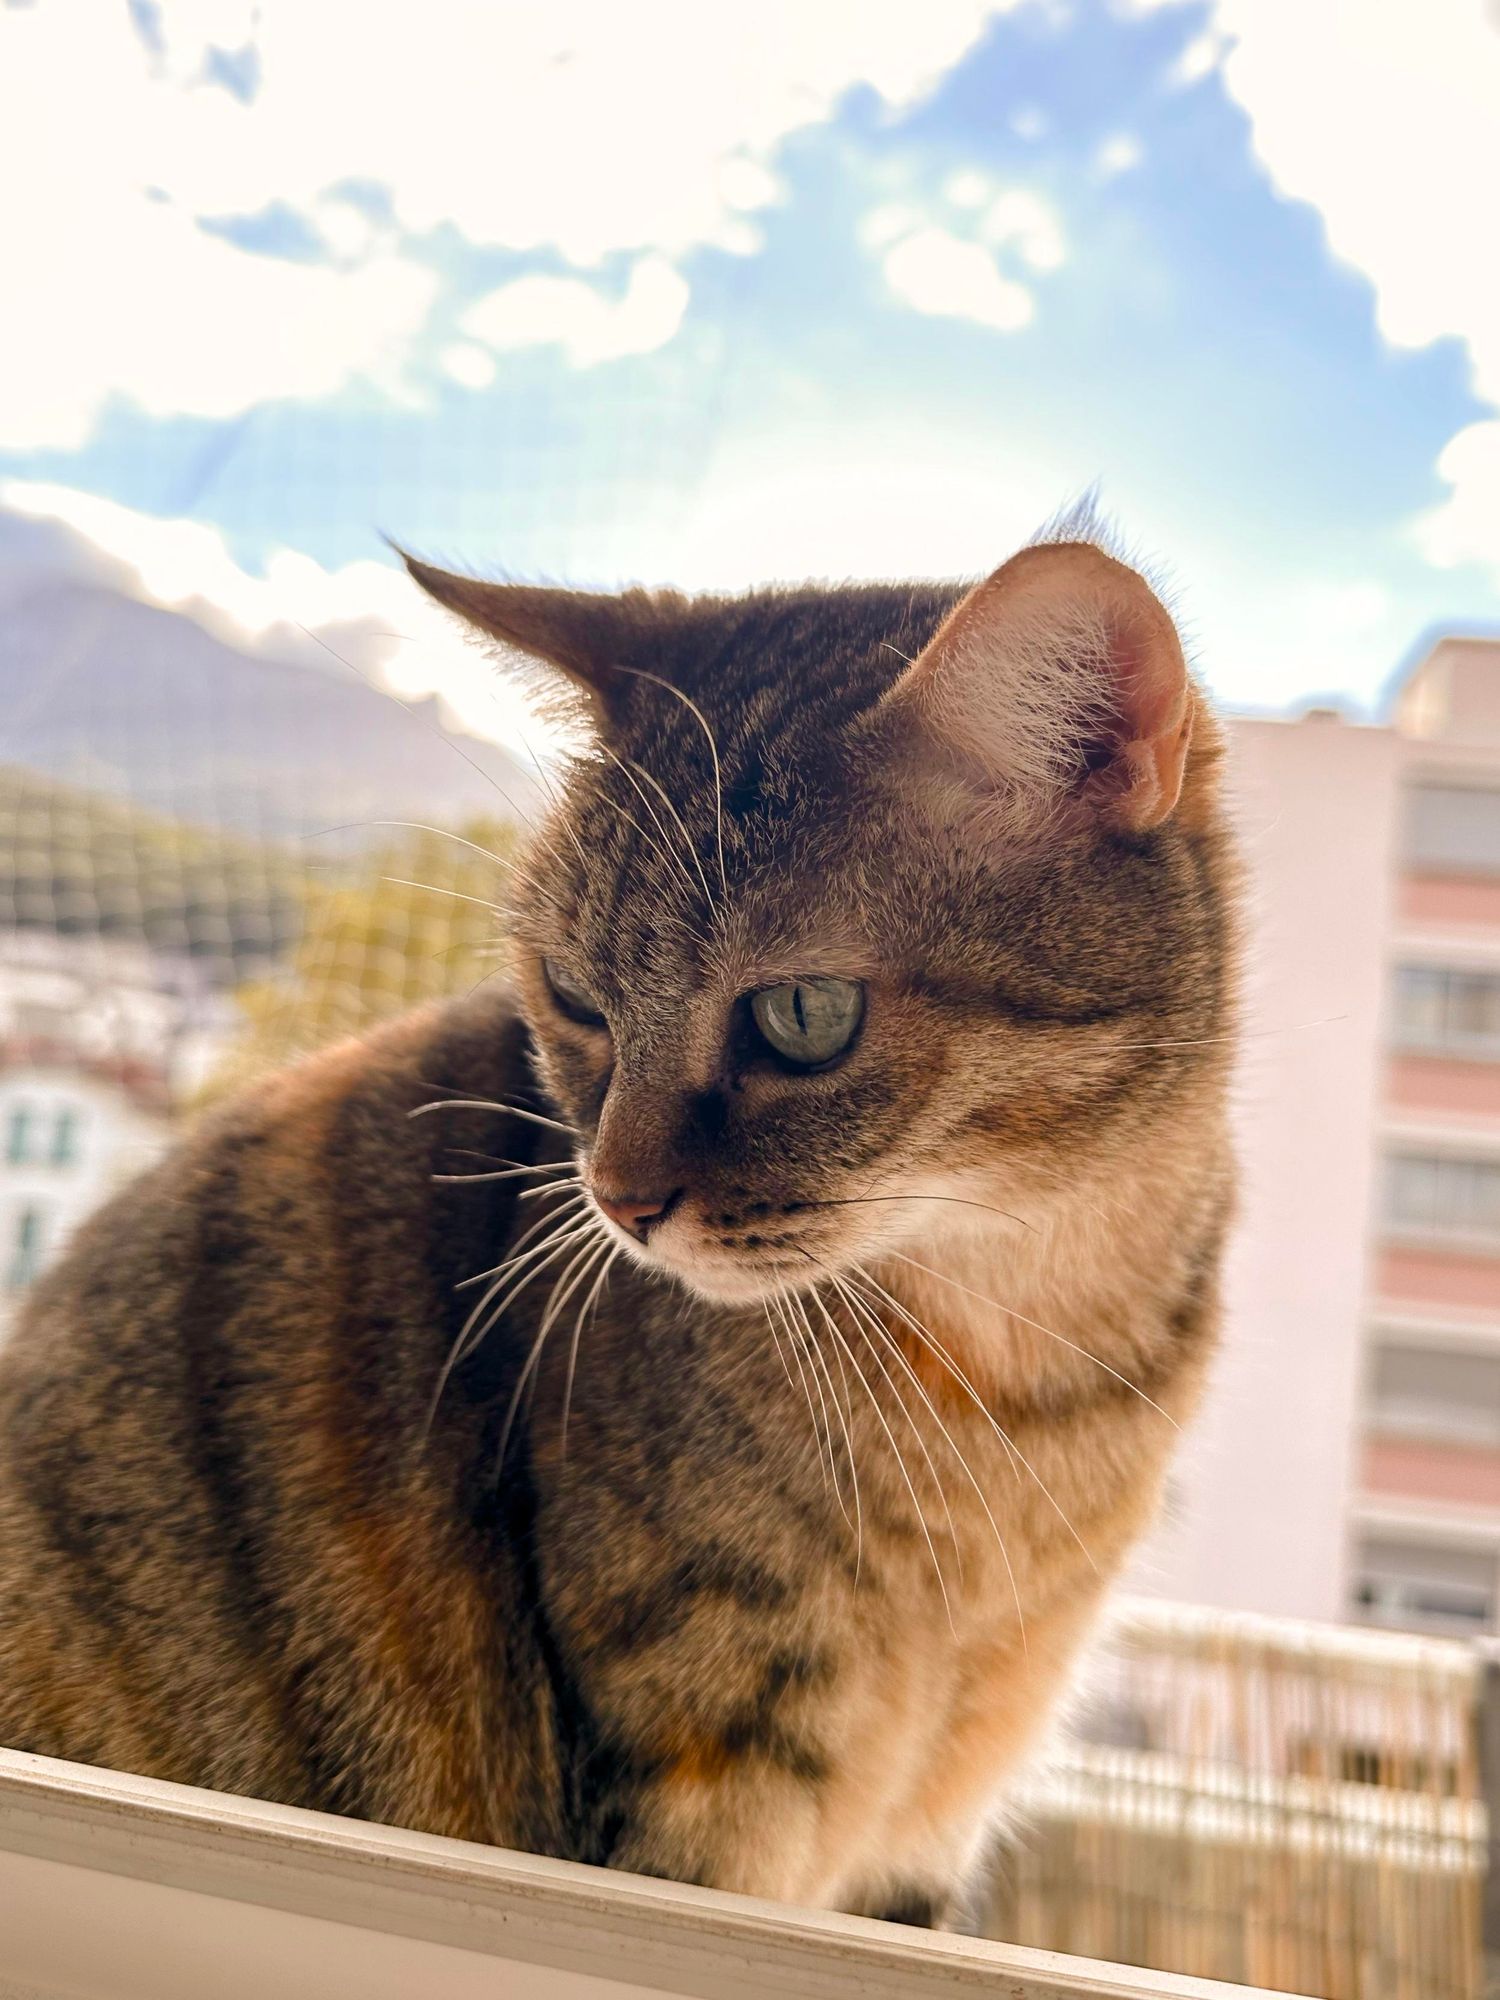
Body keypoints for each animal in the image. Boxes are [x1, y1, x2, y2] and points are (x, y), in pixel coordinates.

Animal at [0, 528, 1240, 1920]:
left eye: (804, 1014)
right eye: (576, 997)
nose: (616, 1197)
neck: (1025, 1362)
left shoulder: (928, 1823)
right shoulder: (705, 1770)